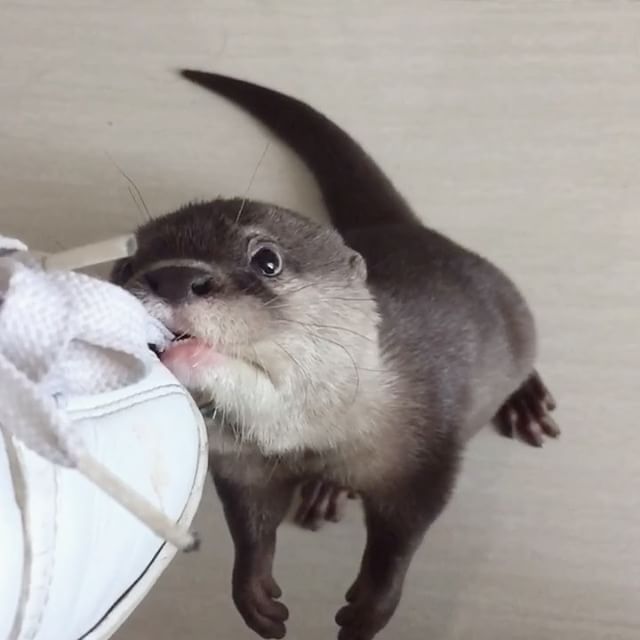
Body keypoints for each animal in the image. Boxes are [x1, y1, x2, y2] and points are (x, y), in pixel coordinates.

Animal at [111, 70, 559, 640]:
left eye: (267, 259)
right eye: (125, 268)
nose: (172, 276)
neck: (318, 435)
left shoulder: (426, 458)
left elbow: (401, 537)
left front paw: (370, 609)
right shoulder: (241, 466)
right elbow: (250, 524)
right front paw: (253, 593)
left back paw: (527, 403)